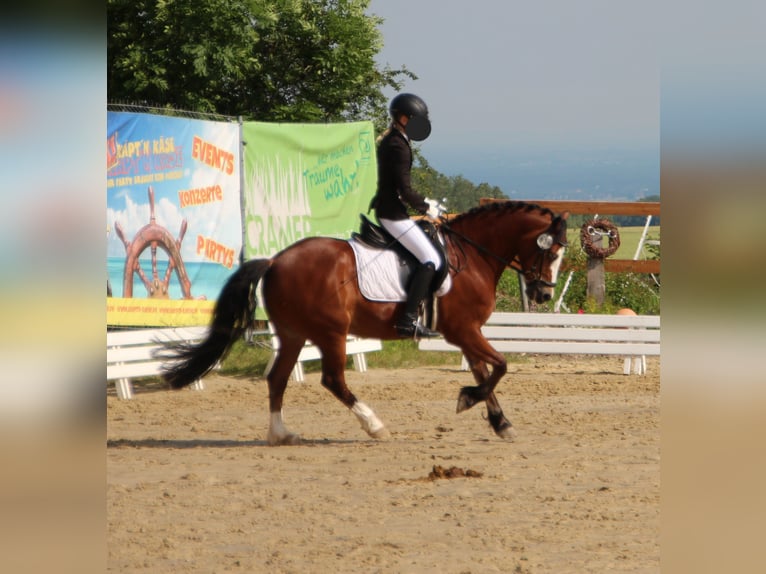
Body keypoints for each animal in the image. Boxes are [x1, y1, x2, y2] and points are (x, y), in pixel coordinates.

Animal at [162, 200, 568, 448]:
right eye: (552, 252)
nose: (544, 295)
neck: (472, 254)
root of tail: (276, 260)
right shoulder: (464, 330)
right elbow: (500, 366)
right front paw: (468, 399)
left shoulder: (466, 332)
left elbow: (486, 372)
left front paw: (499, 422)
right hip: (331, 332)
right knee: (333, 380)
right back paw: (375, 425)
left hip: (294, 334)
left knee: (277, 379)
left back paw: (280, 433)